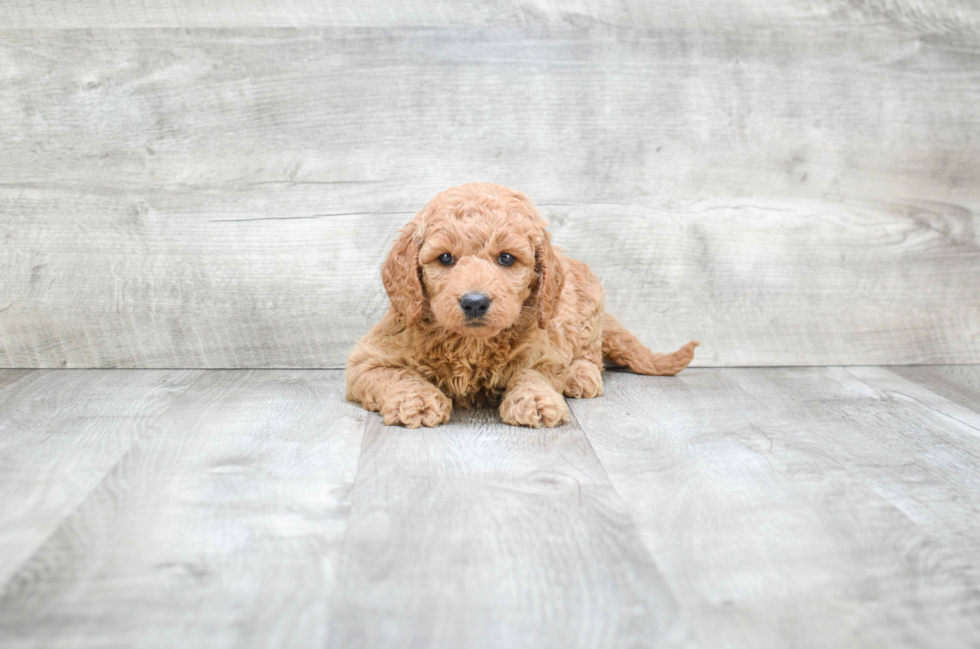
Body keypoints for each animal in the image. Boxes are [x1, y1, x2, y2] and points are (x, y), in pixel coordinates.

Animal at [344, 180, 696, 428]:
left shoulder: (545, 350)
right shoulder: (368, 359)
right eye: (445, 258)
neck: (471, 345)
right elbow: (397, 375)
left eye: (506, 258)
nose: (474, 302)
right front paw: (417, 400)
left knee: (590, 355)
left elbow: (532, 374)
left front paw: (536, 401)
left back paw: (580, 375)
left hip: (589, 309)